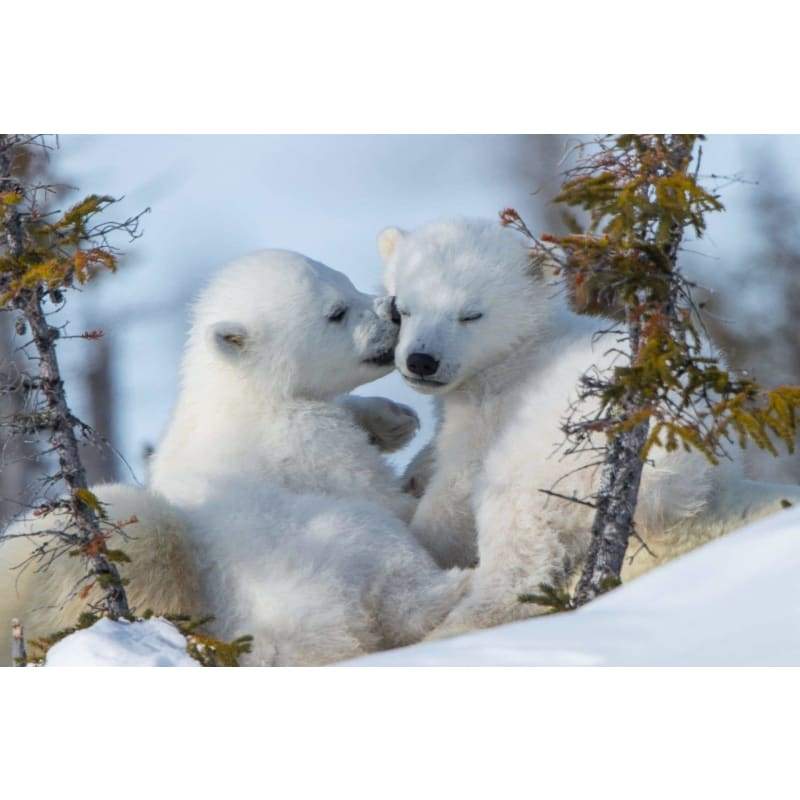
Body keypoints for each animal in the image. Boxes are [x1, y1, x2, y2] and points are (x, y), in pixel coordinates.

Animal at [0, 249, 467, 665]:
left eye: (346, 280)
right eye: (336, 312)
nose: (393, 310)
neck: (242, 393)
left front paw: (394, 418)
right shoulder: (305, 440)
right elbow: (384, 496)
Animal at [379, 217, 800, 637]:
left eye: (471, 314)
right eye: (402, 308)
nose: (421, 361)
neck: (519, 353)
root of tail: (678, 467)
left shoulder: (493, 409)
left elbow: (457, 487)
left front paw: (419, 534)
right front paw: (415, 471)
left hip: (562, 461)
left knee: (517, 532)